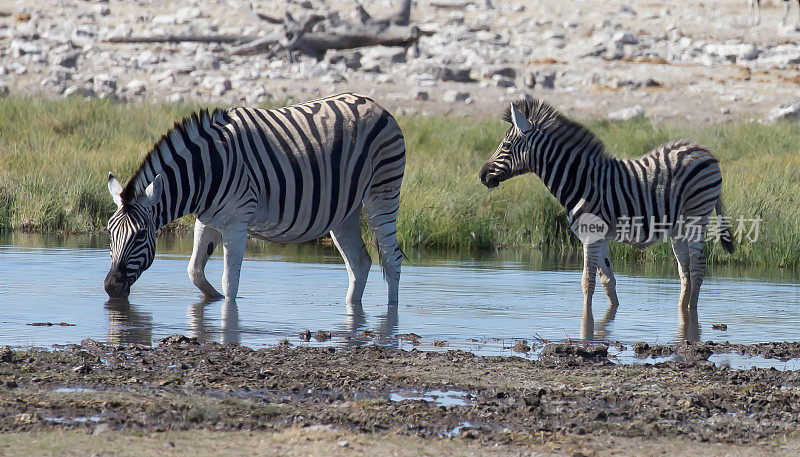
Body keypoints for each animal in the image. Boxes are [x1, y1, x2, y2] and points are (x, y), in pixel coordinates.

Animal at [104, 93, 406, 304]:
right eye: (109, 233)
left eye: (140, 235)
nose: (111, 287)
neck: (206, 172)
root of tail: (374, 103)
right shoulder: (207, 219)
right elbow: (195, 271)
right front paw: (211, 299)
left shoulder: (237, 222)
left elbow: (230, 281)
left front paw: (227, 310)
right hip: (345, 211)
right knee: (359, 263)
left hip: (383, 192)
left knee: (392, 258)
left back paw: (391, 320)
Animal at [478, 99, 736, 314]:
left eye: (506, 145)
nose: (482, 176)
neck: (580, 180)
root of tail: (703, 149)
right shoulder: (597, 236)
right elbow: (607, 280)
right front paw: (610, 315)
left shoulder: (590, 235)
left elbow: (587, 281)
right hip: (679, 227)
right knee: (685, 271)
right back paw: (683, 312)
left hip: (697, 214)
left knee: (698, 267)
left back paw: (692, 312)